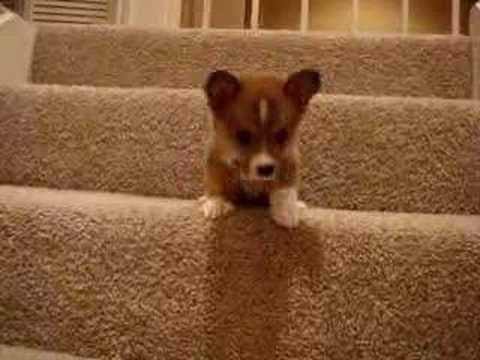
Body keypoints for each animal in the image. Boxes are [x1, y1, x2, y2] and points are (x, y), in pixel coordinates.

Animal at [201, 69, 320, 228]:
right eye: (243, 136)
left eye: (282, 135)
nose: (266, 169)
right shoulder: (217, 161)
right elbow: (216, 184)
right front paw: (217, 202)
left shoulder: (287, 160)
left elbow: (285, 188)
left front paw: (287, 210)